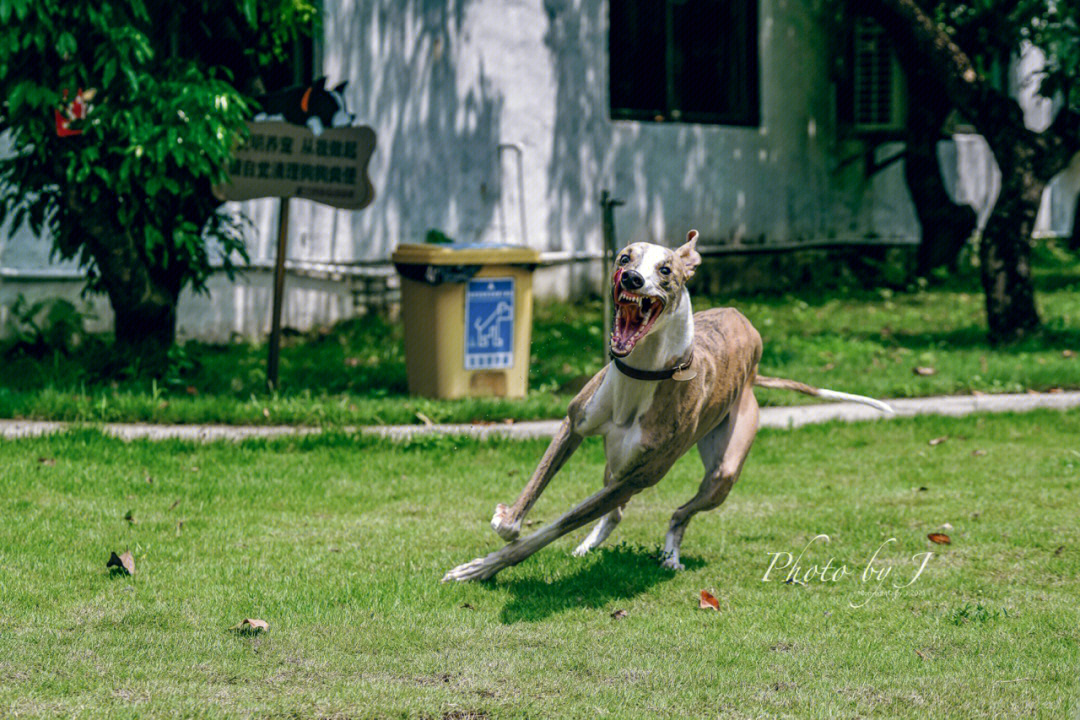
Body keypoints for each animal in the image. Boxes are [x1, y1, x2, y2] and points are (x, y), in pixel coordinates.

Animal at [440, 234, 894, 582]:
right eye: (624, 257)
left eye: (666, 270)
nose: (632, 278)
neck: (641, 375)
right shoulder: (574, 425)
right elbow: (535, 492)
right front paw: (507, 523)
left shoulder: (641, 474)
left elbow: (553, 526)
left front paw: (480, 568)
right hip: (615, 463)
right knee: (615, 512)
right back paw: (589, 544)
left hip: (721, 471)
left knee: (678, 512)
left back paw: (670, 554)